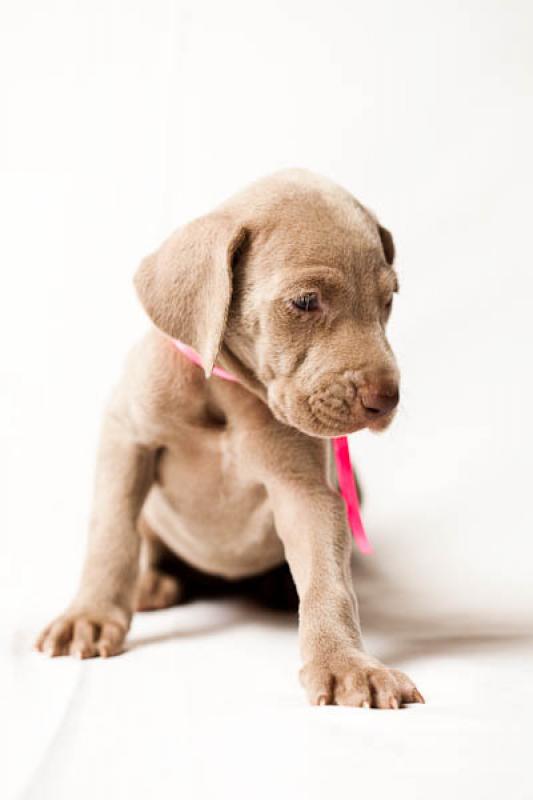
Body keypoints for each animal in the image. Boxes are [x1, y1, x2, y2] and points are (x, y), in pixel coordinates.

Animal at [35, 172, 422, 708]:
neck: (225, 391)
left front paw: (345, 663)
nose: (386, 398)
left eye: (389, 301)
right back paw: (152, 582)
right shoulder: (126, 438)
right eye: (306, 301)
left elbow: (328, 579)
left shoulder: (305, 490)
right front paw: (90, 615)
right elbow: (111, 532)